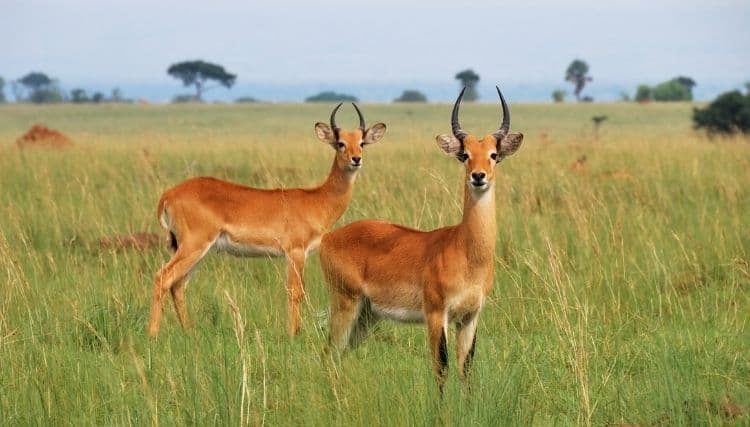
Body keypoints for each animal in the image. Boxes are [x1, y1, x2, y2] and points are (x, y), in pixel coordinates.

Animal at [148, 103, 388, 338]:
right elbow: (295, 292)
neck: (318, 199)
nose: (356, 159)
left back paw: (189, 332)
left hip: (192, 250)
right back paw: (153, 335)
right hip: (194, 245)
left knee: (178, 285)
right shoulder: (296, 252)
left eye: (361, 143)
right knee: (163, 277)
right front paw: (293, 335)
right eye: (340, 143)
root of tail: (169, 194)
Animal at [318, 87, 524, 388]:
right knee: (328, 352)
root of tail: (328, 237)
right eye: (464, 155)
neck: (467, 252)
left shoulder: (470, 317)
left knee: (338, 354)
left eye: (494, 154)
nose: (478, 176)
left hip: (367, 315)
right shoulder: (437, 314)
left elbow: (466, 369)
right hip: (346, 303)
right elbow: (441, 368)